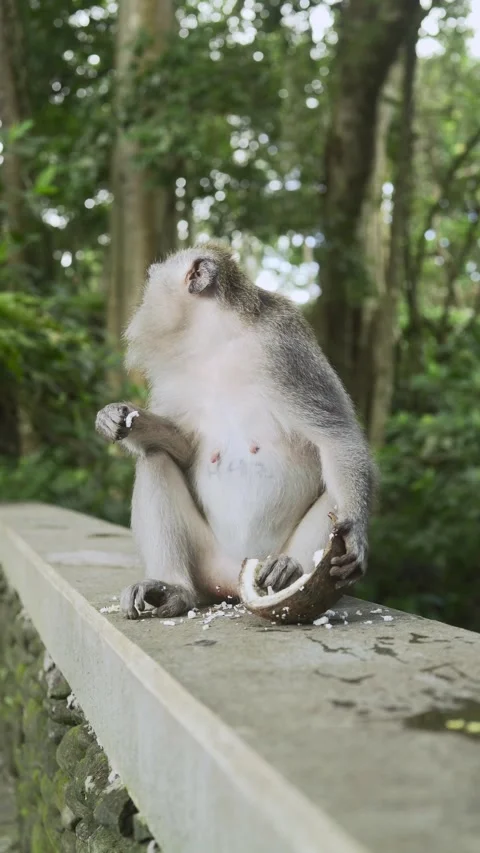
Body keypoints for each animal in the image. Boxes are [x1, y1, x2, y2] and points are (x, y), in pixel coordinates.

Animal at [95, 242, 376, 620]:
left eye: (152, 279)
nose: (140, 305)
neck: (216, 340)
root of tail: (234, 583)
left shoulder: (286, 351)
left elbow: (336, 437)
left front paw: (356, 532)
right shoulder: (175, 372)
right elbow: (184, 450)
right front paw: (118, 417)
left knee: (336, 490)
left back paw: (289, 569)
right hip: (206, 562)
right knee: (156, 460)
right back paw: (171, 588)